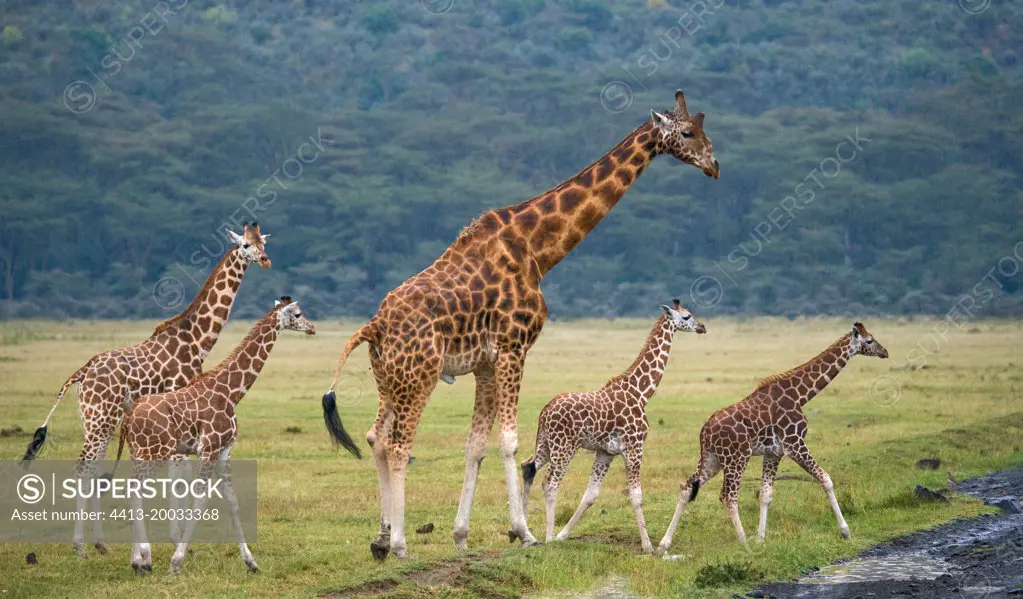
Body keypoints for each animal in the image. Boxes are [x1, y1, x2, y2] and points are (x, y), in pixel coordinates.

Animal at [20, 221, 272, 556]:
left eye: (263, 242)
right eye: (245, 245)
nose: (266, 260)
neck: (197, 341)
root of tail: (82, 373)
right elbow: (180, 474)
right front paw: (179, 540)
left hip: (97, 420)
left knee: (94, 469)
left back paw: (100, 544)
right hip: (101, 418)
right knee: (81, 468)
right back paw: (80, 547)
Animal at [523, 298, 707, 551]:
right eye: (687, 316)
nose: (702, 327)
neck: (641, 393)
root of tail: (545, 411)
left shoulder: (606, 452)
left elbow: (591, 494)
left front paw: (563, 534)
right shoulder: (634, 446)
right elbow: (636, 495)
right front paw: (648, 546)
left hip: (545, 444)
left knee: (527, 467)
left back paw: (522, 531)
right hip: (564, 447)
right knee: (549, 483)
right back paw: (547, 538)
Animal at [654, 318, 887, 551]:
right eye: (869, 340)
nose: (884, 352)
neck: (800, 395)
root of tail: (704, 432)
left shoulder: (774, 452)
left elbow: (766, 494)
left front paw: (761, 538)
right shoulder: (795, 444)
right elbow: (826, 479)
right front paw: (845, 531)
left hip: (712, 460)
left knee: (687, 487)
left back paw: (664, 544)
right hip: (736, 458)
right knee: (728, 497)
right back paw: (744, 544)